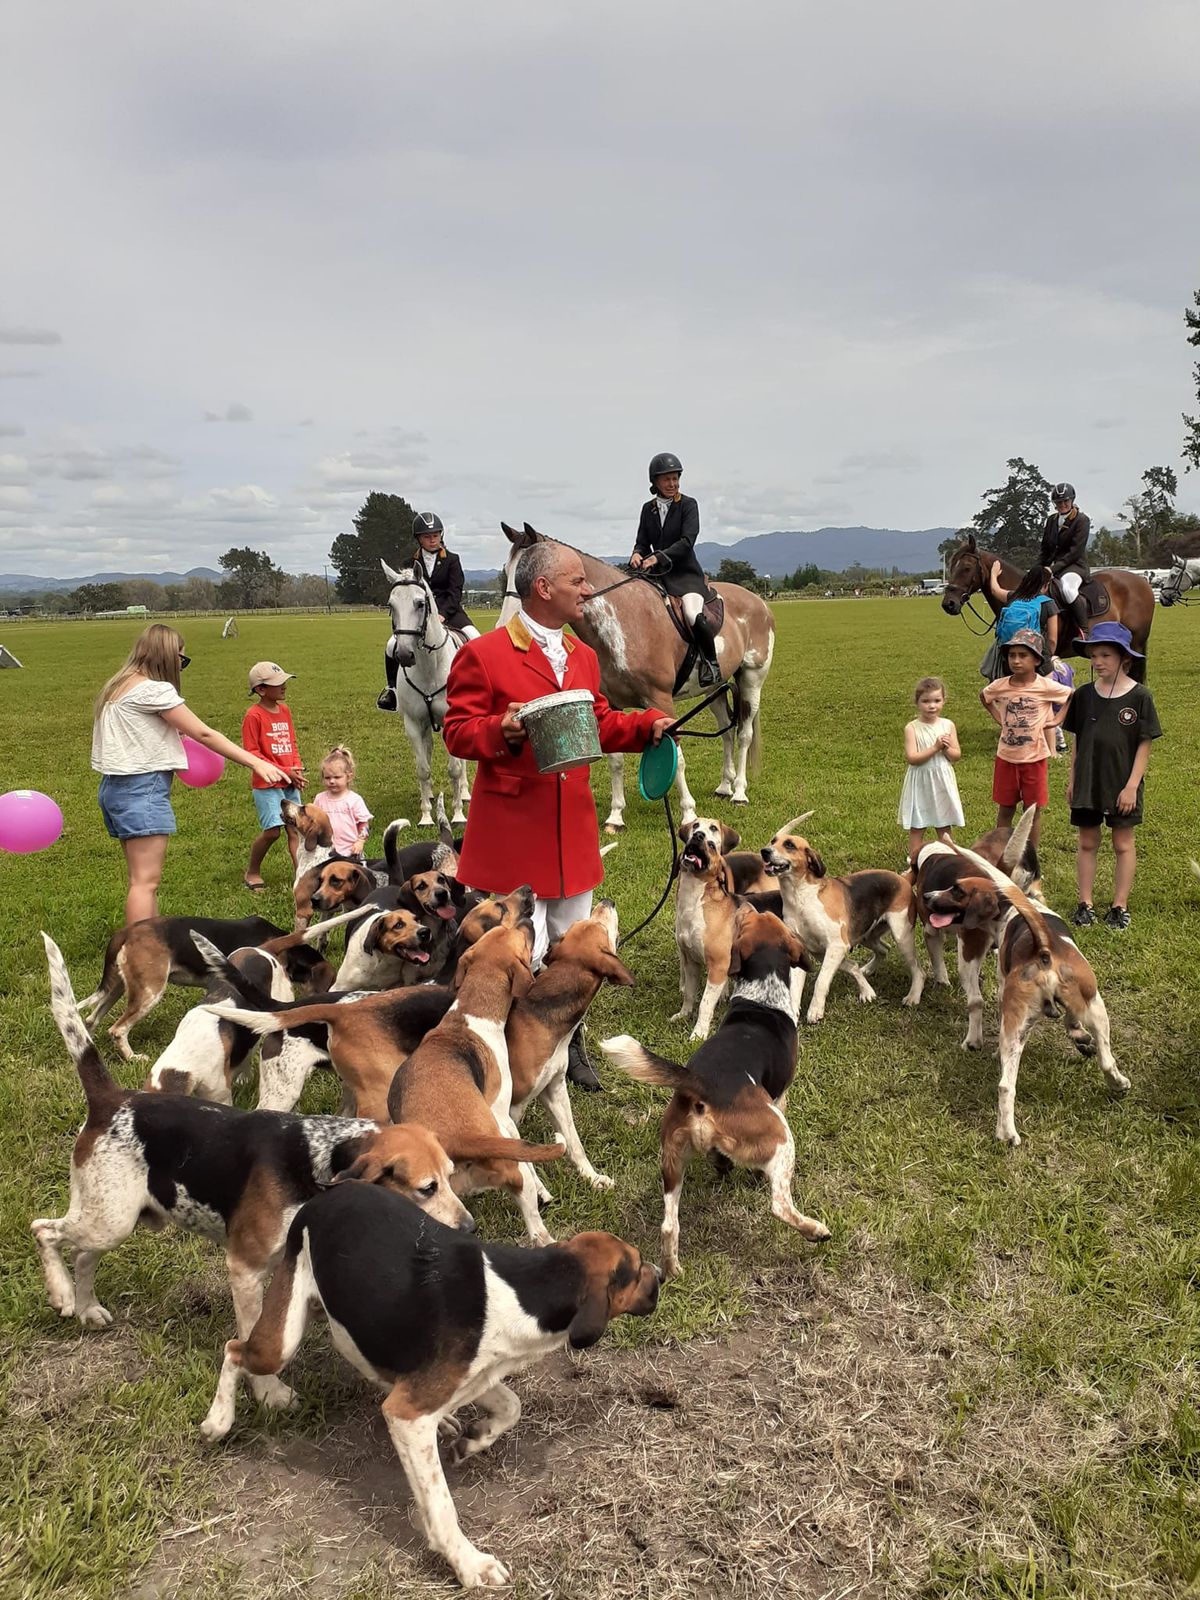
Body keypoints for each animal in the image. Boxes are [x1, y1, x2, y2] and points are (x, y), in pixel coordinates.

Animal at [382, 560, 473, 825]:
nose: (404, 655)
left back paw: (465, 793)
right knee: (428, 749)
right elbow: (422, 769)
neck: (430, 667)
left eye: (420, 603)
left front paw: (458, 814)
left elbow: (454, 768)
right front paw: (425, 816)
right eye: (390, 605)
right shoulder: (413, 723)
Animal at [499, 524, 774, 832]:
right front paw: (615, 817)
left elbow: (677, 758)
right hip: (714, 688)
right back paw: (725, 787)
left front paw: (689, 814)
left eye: (539, 580)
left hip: (752, 678)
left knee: (744, 734)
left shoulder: (661, 699)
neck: (621, 620)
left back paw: (739, 792)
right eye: (506, 571)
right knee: (726, 731)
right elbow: (615, 760)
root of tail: (758, 601)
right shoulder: (611, 704)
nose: (508, 627)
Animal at [940, 537, 1158, 681]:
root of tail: (1143, 582)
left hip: (1136, 643)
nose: (948, 604)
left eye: (967, 568)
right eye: (950, 567)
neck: (1026, 592)